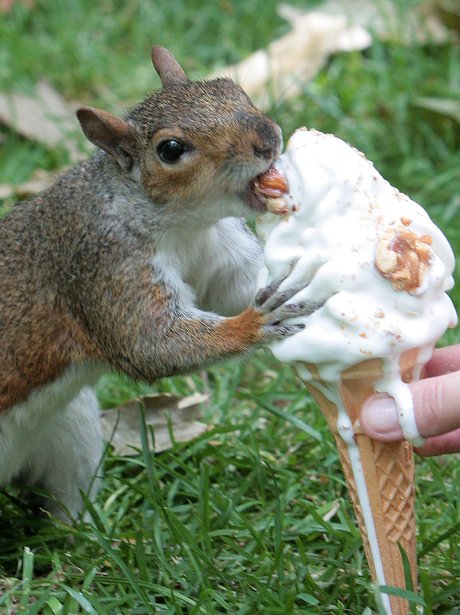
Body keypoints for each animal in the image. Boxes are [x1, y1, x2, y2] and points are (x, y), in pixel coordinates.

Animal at [0, 45, 318, 524]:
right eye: (170, 150)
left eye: (231, 88)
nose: (268, 139)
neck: (182, 225)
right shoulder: (105, 265)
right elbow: (150, 342)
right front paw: (254, 325)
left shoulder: (218, 252)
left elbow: (241, 289)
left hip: (68, 432)